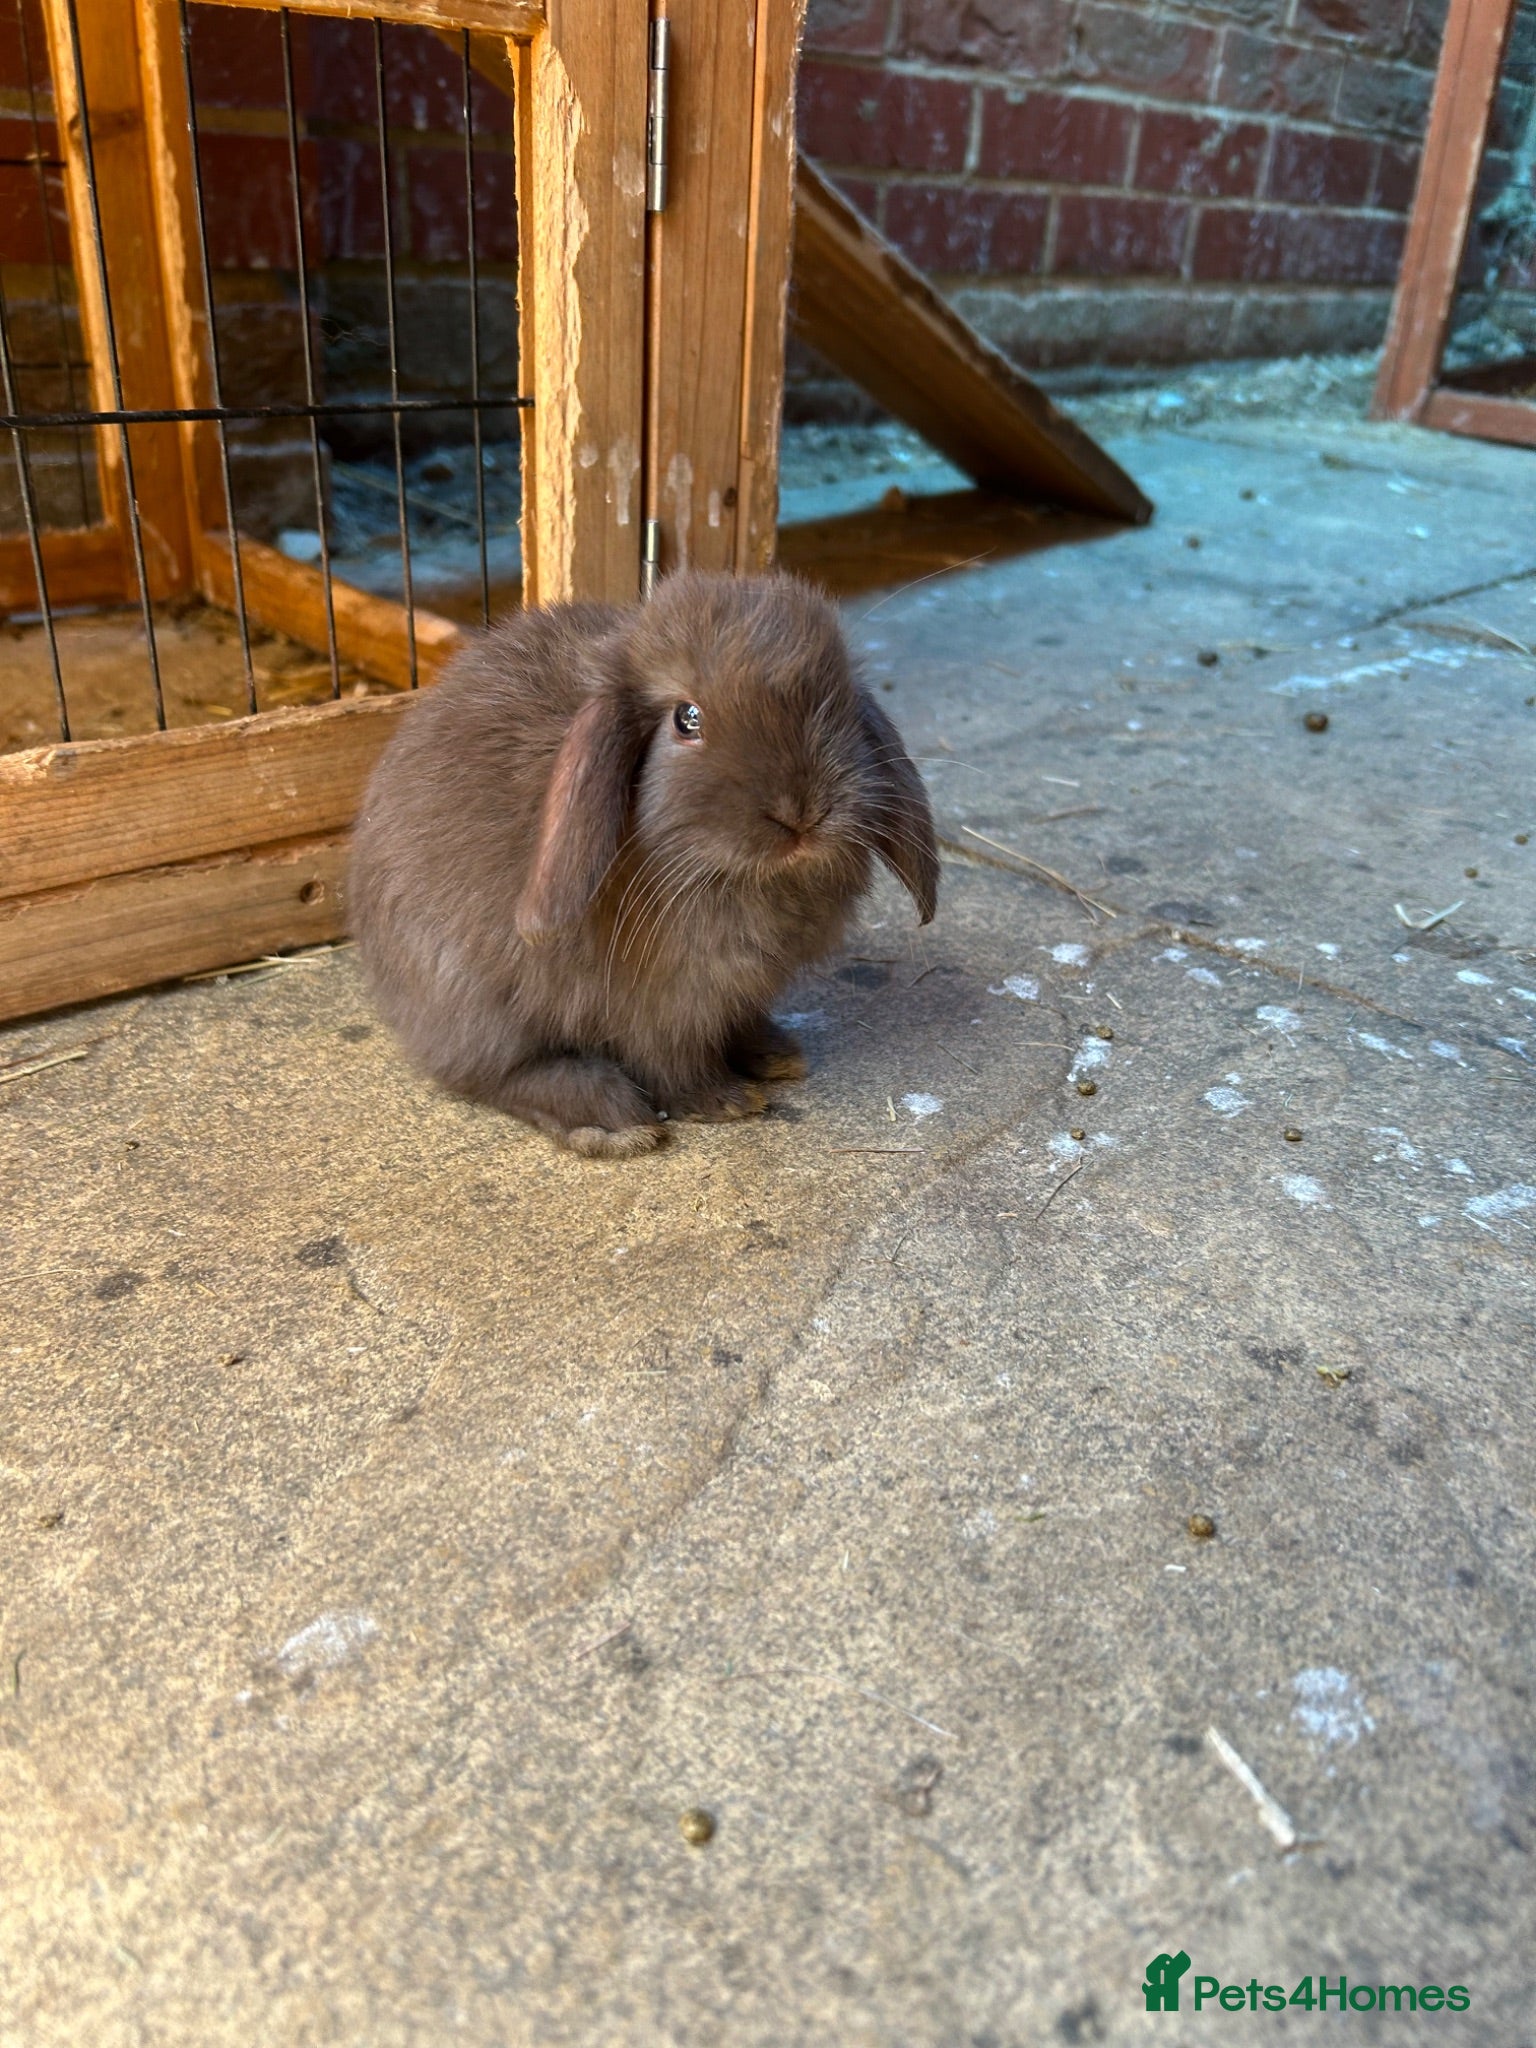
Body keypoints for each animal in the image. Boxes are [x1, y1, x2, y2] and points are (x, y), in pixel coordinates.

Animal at [349, 569, 938, 1157]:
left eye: (834, 700)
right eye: (687, 719)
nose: (802, 813)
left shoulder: (734, 994)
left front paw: (766, 1059)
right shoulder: (660, 1008)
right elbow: (672, 1063)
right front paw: (725, 1101)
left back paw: (772, 1053)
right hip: (476, 1003)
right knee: (493, 1074)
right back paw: (611, 1119)